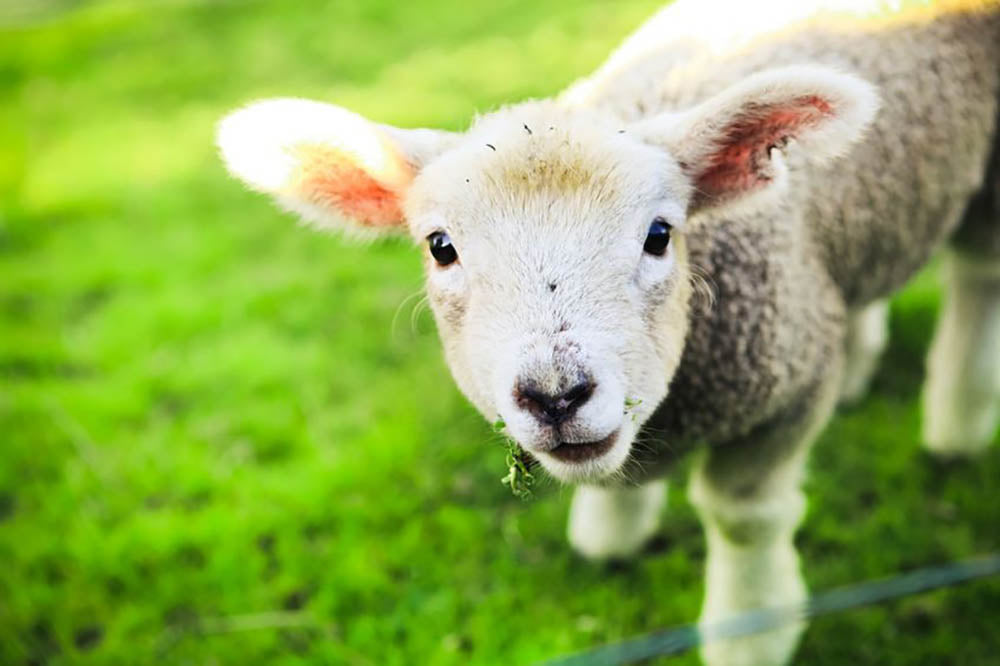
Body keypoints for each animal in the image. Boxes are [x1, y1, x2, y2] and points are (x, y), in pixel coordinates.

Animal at [215, 1, 1000, 664]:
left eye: (660, 235)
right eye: (441, 247)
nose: (555, 395)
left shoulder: (785, 391)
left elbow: (745, 519)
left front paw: (751, 634)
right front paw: (610, 536)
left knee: (978, 278)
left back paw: (957, 425)